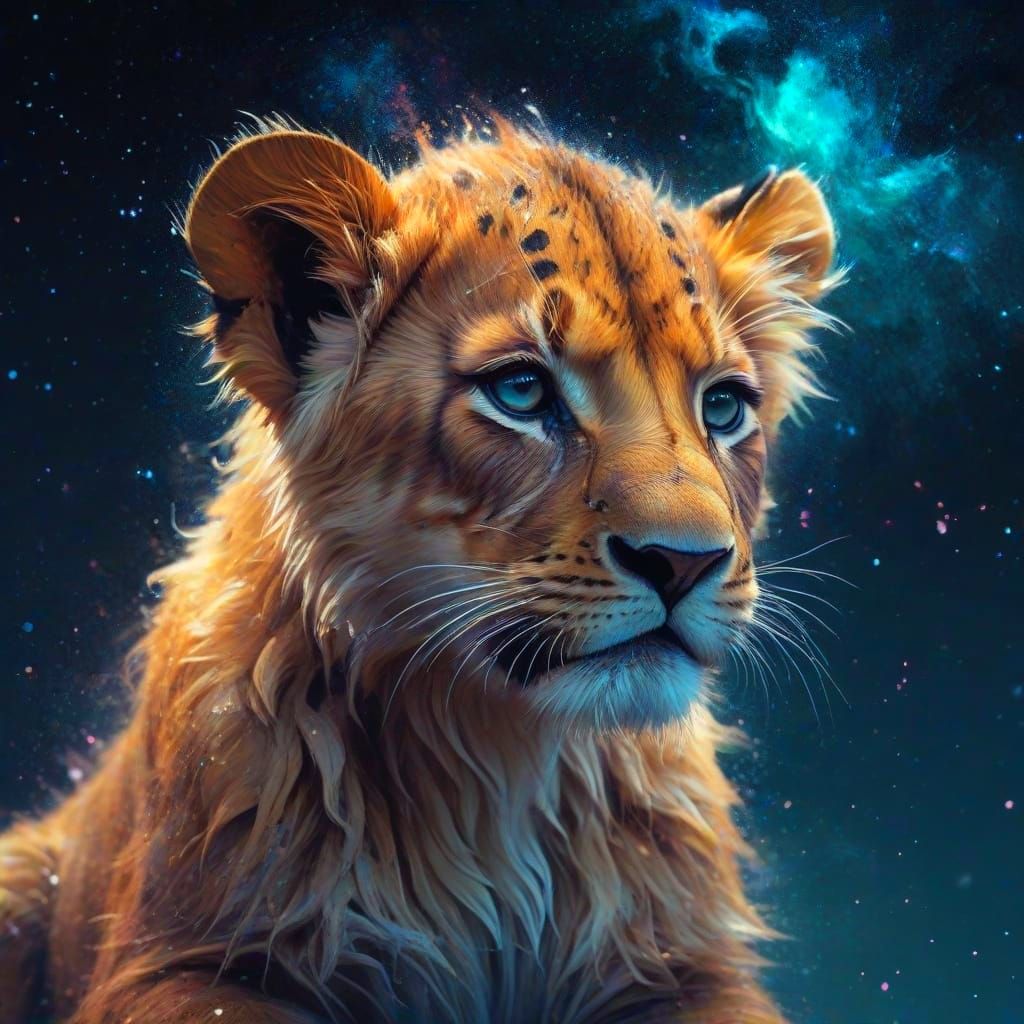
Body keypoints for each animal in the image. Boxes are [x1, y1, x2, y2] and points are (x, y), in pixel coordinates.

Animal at [0, 117, 839, 1023]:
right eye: (521, 391)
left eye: (722, 407)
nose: (683, 562)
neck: (497, 761)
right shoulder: (175, 962)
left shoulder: (692, 972)